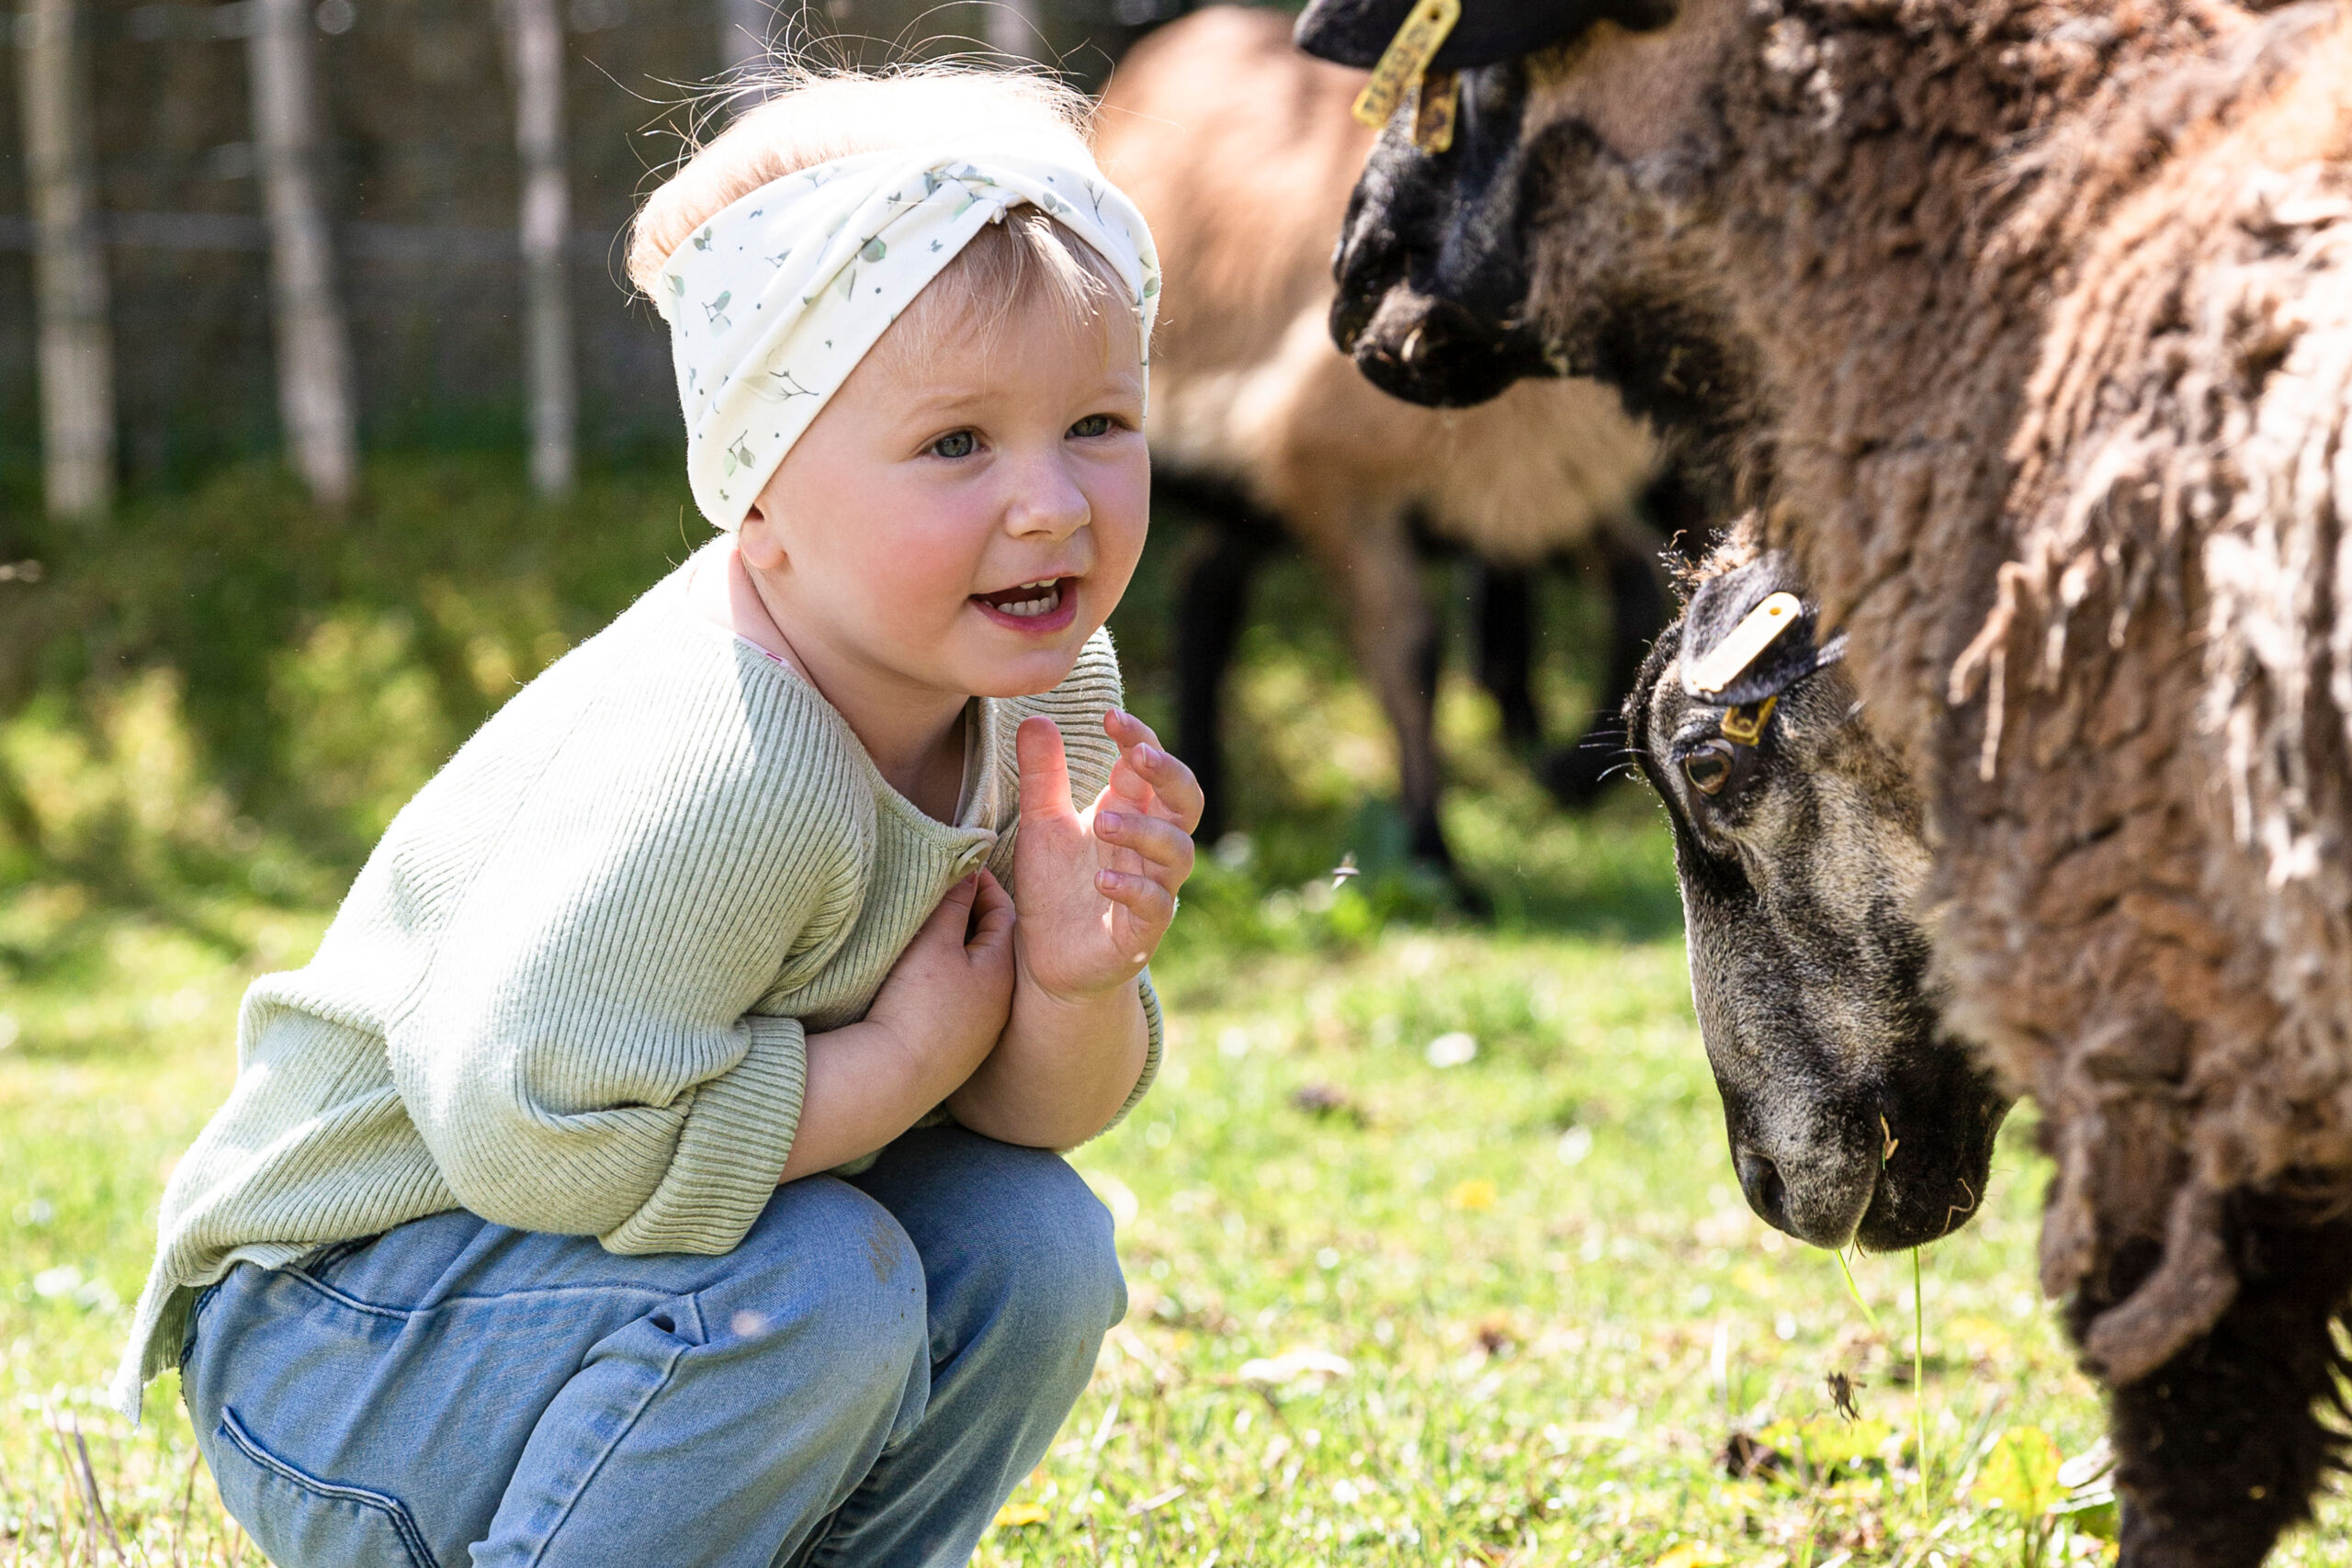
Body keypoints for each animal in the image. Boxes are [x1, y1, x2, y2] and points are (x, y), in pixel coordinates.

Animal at [1091, 6, 1683, 879]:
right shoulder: (1328, 469)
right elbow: (1409, 650)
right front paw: (1438, 860)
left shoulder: (1544, 482)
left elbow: (1641, 588)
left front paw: (1565, 776)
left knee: (1206, 587)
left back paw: (1213, 814)